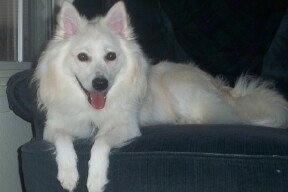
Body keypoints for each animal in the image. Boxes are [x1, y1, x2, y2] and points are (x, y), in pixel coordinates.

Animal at [34, 0, 288, 191]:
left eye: (110, 56)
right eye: (82, 57)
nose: (100, 83)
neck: (92, 110)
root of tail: (224, 88)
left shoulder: (127, 127)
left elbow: (100, 142)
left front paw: (95, 180)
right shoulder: (53, 128)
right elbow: (63, 140)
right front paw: (68, 174)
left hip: (180, 90)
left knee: (220, 116)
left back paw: (186, 121)